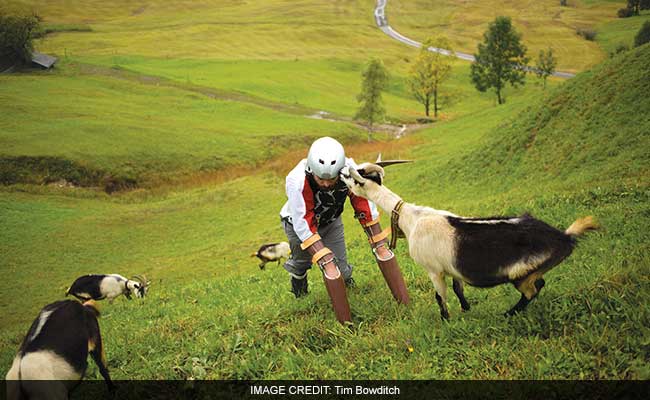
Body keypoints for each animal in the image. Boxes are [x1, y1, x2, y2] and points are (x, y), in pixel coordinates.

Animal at [340, 164, 599, 319]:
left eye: (355, 178)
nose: (342, 174)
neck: (411, 218)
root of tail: (564, 237)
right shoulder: (451, 267)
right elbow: (458, 288)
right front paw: (466, 309)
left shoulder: (433, 270)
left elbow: (440, 296)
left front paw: (445, 319)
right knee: (538, 284)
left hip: (520, 273)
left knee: (533, 290)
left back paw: (508, 314)